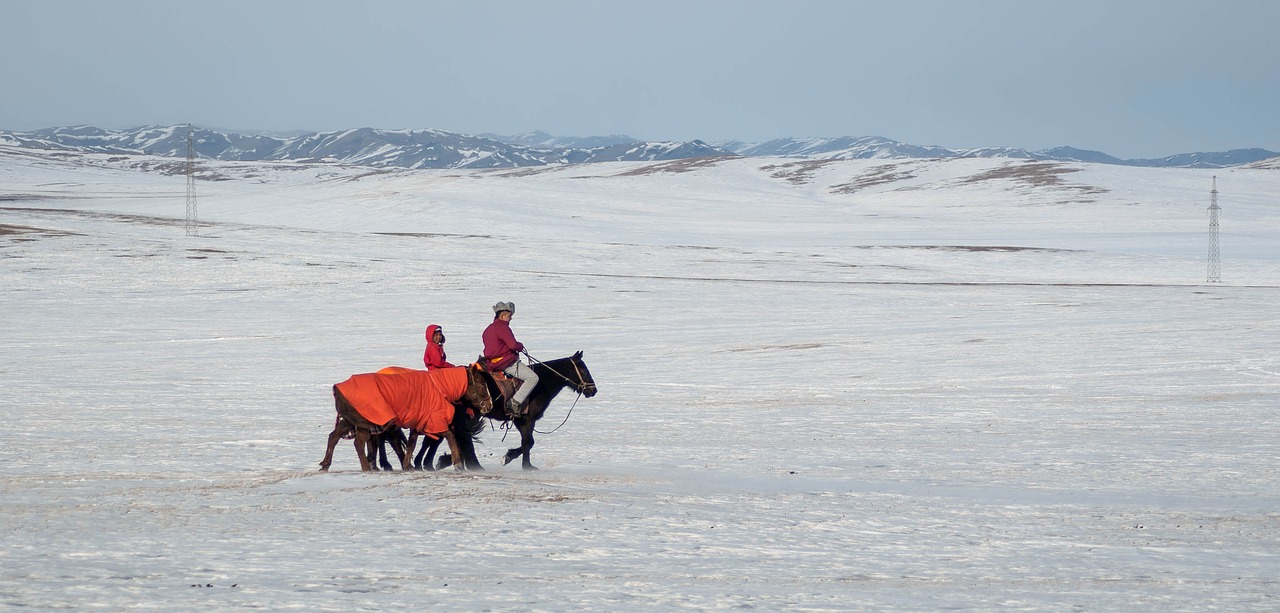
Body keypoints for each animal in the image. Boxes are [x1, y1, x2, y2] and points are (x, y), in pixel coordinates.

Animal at [319, 365, 495, 472]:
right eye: (481, 383)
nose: (489, 405)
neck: (440, 387)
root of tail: (339, 390)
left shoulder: (420, 422)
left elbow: (412, 443)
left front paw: (408, 464)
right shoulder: (434, 419)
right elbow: (449, 436)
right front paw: (456, 462)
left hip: (349, 421)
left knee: (333, 437)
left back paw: (326, 464)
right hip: (365, 423)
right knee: (359, 443)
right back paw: (367, 466)